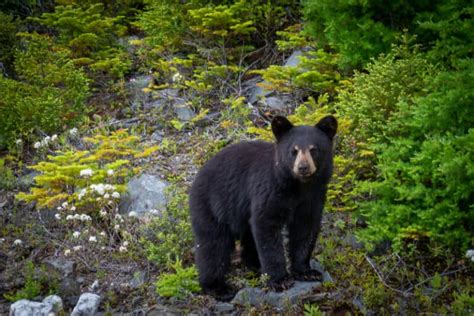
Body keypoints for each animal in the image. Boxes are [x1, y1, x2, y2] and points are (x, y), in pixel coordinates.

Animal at [189, 115, 336, 300]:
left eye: (313, 149)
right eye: (293, 150)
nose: (303, 167)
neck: (298, 186)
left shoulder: (313, 197)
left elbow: (305, 229)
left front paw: (306, 271)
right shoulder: (270, 190)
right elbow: (266, 225)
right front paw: (280, 280)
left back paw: (254, 263)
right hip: (212, 205)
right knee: (213, 244)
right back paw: (217, 287)